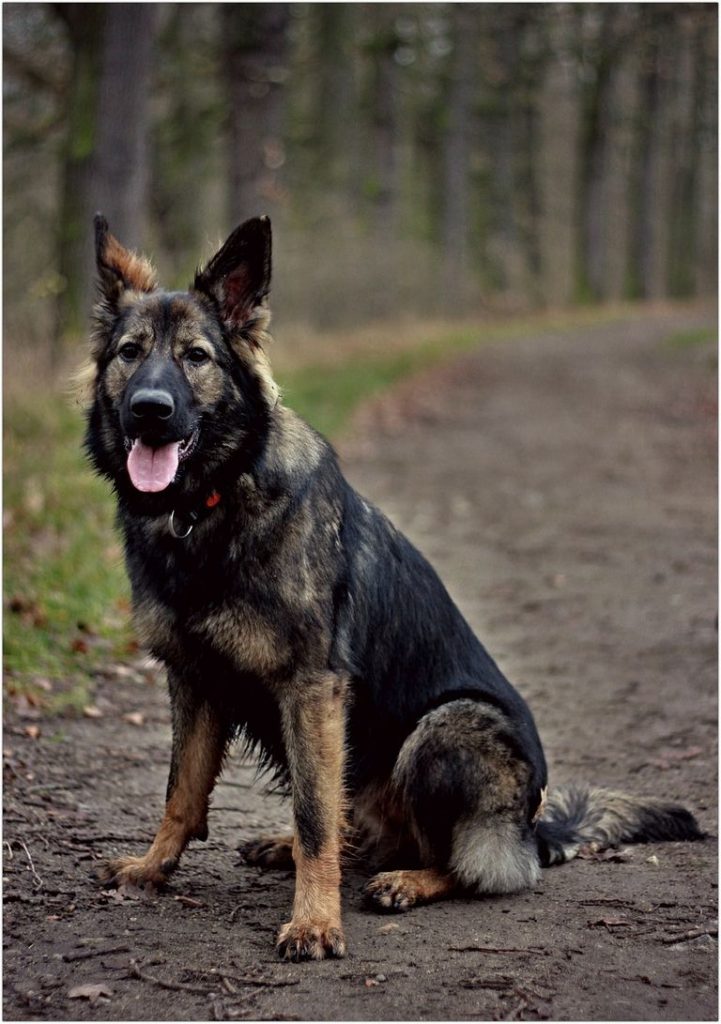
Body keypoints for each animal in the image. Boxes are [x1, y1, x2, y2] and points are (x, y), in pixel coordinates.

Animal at [81, 214, 700, 958]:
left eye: (195, 357)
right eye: (130, 353)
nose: (150, 409)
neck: (210, 505)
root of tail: (534, 829)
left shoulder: (311, 689)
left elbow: (315, 816)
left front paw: (315, 920)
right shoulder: (195, 680)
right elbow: (182, 793)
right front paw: (152, 867)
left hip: (446, 729)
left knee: (470, 866)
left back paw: (407, 879)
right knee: (359, 832)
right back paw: (293, 848)